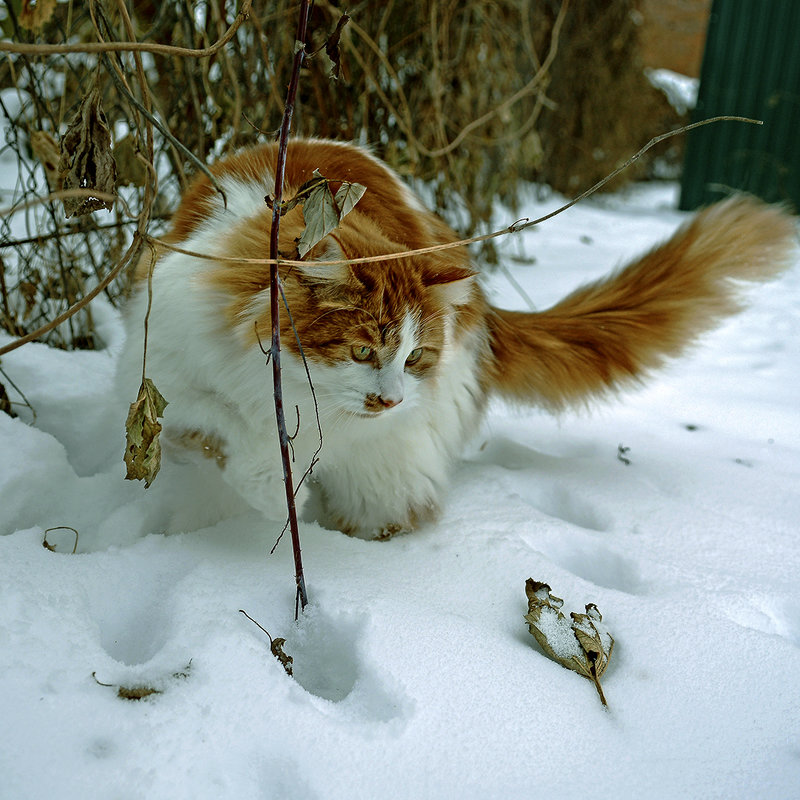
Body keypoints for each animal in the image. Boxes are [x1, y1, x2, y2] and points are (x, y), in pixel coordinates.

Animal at [120, 139, 800, 536]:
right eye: (362, 350)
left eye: (415, 356)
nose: (390, 399)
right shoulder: (169, 373)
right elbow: (227, 431)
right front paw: (268, 493)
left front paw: (278, 500)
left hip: (399, 456)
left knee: (394, 505)